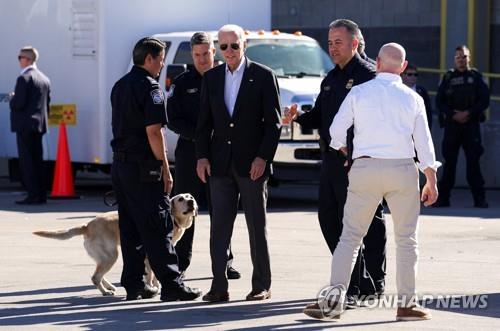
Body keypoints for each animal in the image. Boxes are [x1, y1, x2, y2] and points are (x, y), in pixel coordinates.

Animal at [32, 193, 197, 296]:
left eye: (190, 197)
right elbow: (152, 274)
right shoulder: (151, 253)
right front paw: (155, 287)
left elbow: (152, 274)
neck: (173, 218)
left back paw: (109, 287)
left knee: (97, 274)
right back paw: (105, 292)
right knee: (95, 276)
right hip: (111, 256)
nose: (191, 202)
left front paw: (155, 286)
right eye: (180, 199)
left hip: (104, 256)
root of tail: (87, 225)